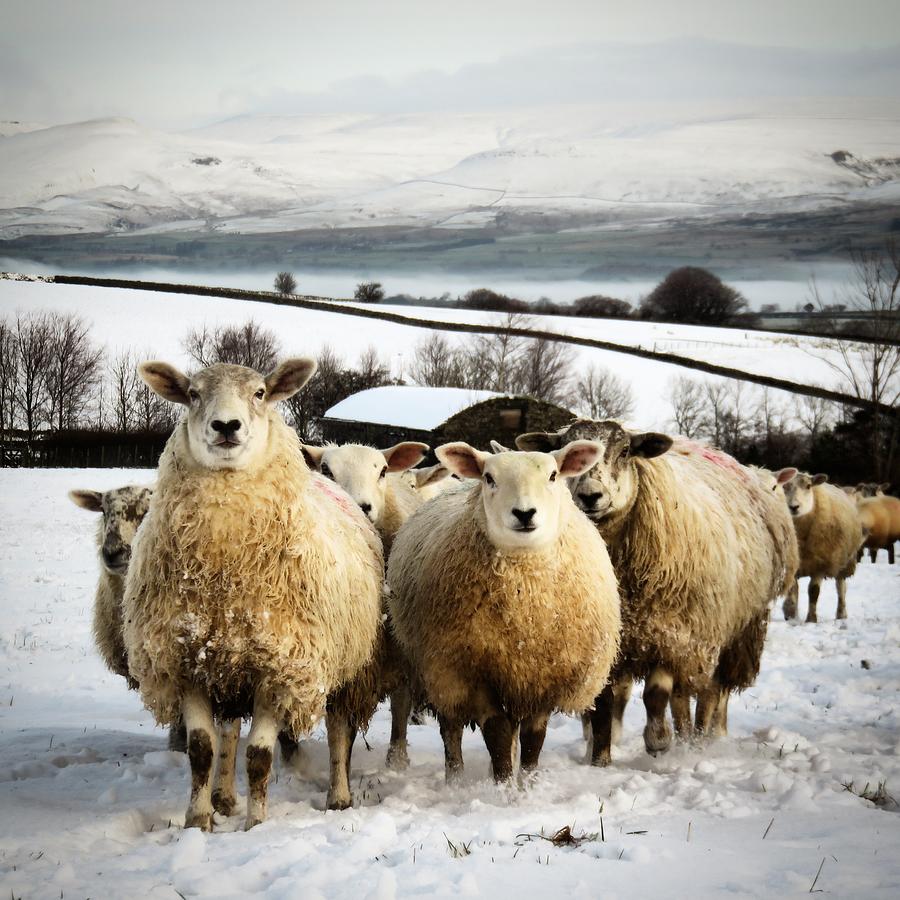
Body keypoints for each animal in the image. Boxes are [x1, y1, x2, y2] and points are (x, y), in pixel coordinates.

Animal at [124, 360, 384, 828]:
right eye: (193, 393)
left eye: (260, 393)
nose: (226, 425)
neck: (225, 571)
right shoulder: (186, 663)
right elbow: (201, 750)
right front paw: (198, 821)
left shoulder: (282, 667)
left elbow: (261, 756)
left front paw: (256, 825)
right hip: (228, 669)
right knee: (228, 733)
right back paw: (224, 797)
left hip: (349, 662)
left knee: (340, 729)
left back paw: (338, 796)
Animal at [386, 440, 620, 784]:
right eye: (489, 478)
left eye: (553, 475)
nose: (524, 513)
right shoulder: (476, 673)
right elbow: (497, 736)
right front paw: (504, 787)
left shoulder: (543, 675)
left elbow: (533, 738)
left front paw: (528, 785)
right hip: (442, 671)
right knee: (450, 728)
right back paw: (455, 780)